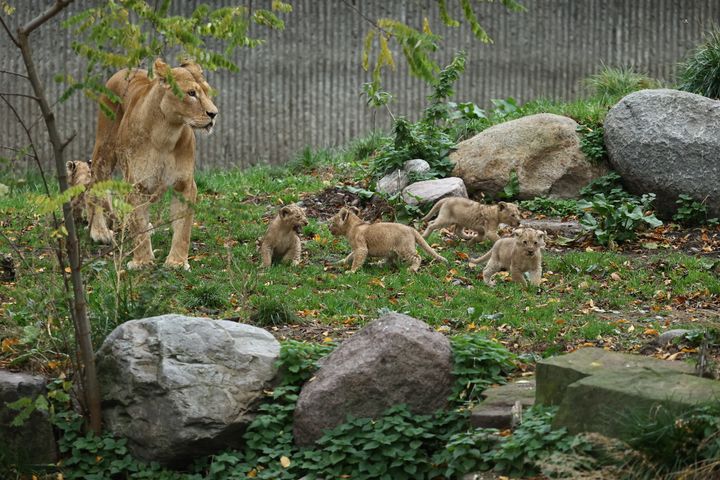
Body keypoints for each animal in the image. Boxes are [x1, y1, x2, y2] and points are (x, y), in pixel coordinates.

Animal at [88, 58, 217, 270]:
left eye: (207, 92)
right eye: (191, 93)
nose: (214, 114)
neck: (165, 134)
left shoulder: (185, 184)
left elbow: (183, 227)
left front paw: (176, 262)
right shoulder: (136, 185)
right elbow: (138, 223)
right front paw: (142, 261)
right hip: (104, 152)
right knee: (94, 187)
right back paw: (99, 231)